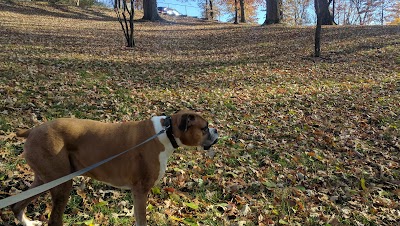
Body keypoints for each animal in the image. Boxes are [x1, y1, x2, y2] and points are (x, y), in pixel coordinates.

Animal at [11, 110, 219, 225]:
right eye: (204, 128)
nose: (216, 130)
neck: (166, 132)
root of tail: (33, 130)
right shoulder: (140, 191)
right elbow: (141, 220)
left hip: (44, 180)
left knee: (16, 205)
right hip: (61, 184)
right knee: (53, 220)